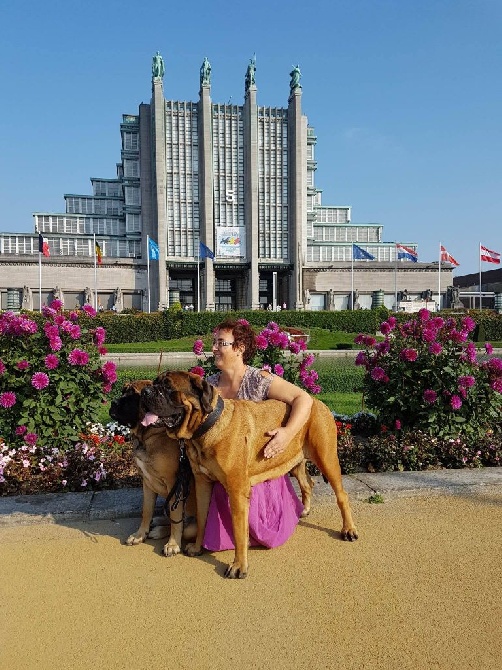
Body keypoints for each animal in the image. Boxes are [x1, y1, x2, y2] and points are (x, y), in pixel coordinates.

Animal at [110, 380, 196, 560]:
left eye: (133, 395)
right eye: (123, 392)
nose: (112, 403)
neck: (147, 435)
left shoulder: (174, 483)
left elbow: (176, 517)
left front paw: (173, 545)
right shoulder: (147, 482)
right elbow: (146, 510)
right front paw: (140, 534)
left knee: (183, 524)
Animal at [140, 370, 356, 580]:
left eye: (168, 387)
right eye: (155, 383)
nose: (145, 392)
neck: (205, 427)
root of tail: (315, 400)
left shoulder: (237, 491)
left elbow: (238, 532)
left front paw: (238, 567)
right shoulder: (202, 483)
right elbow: (202, 518)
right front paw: (197, 547)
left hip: (326, 457)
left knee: (342, 495)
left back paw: (349, 530)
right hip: (294, 461)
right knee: (306, 484)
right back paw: (304, 510)